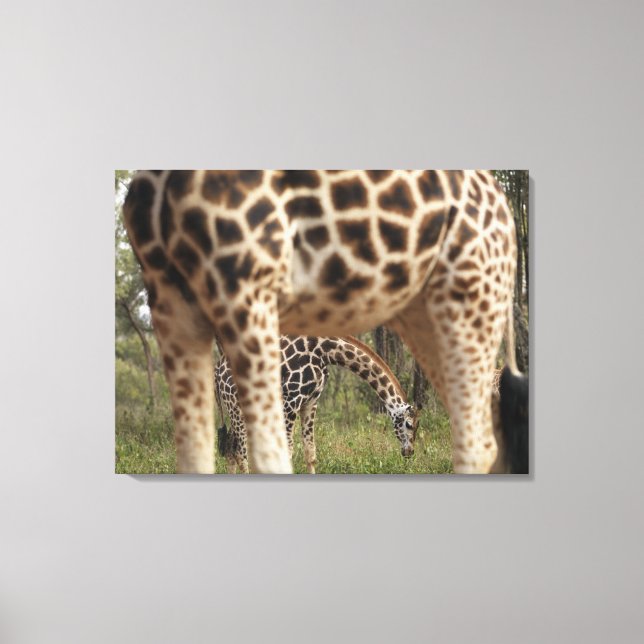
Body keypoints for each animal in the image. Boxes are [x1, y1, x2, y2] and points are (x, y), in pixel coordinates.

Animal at [215, 335, 418, 474]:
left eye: (417, 426)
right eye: (409, 424)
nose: (409, 452)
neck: (325, 351)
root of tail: (217, 370)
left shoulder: (310, 402)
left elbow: (310, 451)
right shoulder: (291, 400)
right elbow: (288, 451)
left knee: (231, 449)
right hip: (236, 406)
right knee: (240, 452)